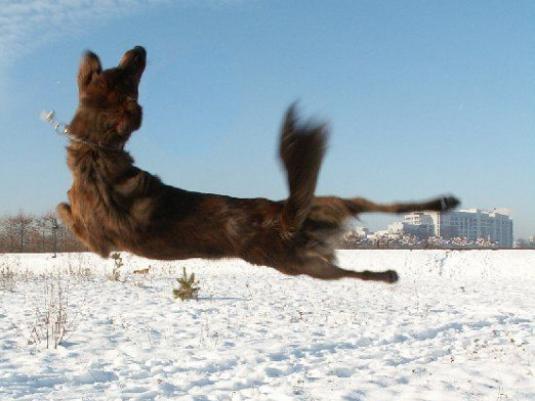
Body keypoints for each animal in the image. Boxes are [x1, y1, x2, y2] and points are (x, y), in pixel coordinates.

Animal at [57, 47, 460, 282]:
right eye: (120, 73)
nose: (140, 49)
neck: (97, 152)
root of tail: (287, 220)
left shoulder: (97, 240)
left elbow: (64, 206)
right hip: (326, 218)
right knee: (379, 216)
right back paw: (438, 209)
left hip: (299, 263)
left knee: (356, 263)